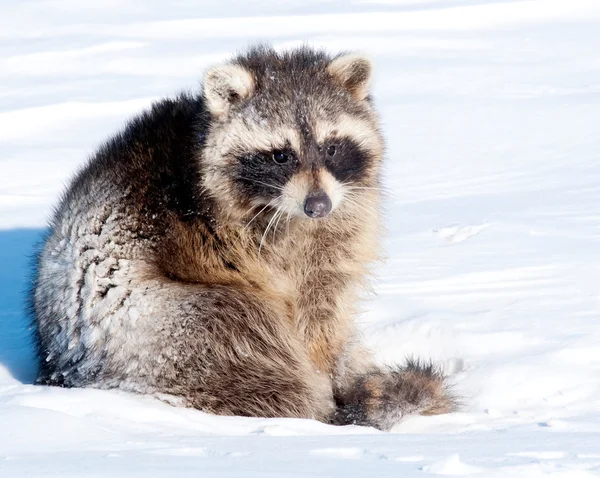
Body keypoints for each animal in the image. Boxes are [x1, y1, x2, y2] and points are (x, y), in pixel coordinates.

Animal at [31, 44, 454, 432]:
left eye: (332, 147)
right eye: (281, 155)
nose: (318, 205)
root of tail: (62, 367)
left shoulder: (337, 225)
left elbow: (324, 303)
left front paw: (340, 368)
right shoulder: (235, 237)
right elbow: (295, 306)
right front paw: (329, 382)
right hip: (163, 330)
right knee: (243, 321)